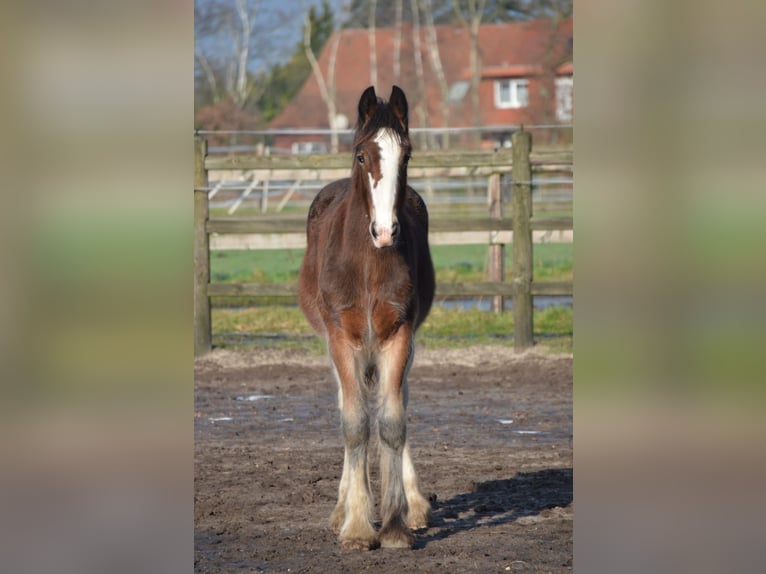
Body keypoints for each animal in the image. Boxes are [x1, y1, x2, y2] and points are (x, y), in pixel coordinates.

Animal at [296, 84, 436, 548]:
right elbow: (355, 423)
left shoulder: (399, 335)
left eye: (406, 155)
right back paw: (342, 508)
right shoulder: (343, 337)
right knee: (347, 402)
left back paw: (414, 505)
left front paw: (394, 524)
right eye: (361, 154)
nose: (386, 231)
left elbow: (392, 422)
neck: (369, 264)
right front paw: (357, 526)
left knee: (398, 402)